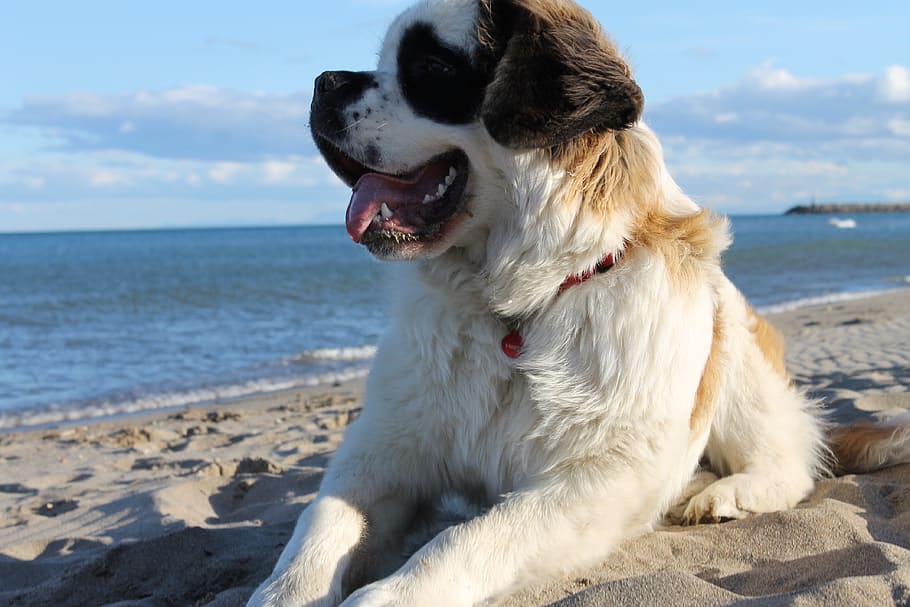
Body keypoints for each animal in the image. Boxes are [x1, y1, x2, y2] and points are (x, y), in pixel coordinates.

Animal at [246, 1, 910, 607]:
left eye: (431, 66)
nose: (323, 82)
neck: (517, 302)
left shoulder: (598, 474)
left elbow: (471, 538)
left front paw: (391, 595)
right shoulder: (387, 442)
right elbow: (323, 519)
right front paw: (286, 590)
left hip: (734, 356)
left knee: (788, 461)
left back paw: (723, 494)